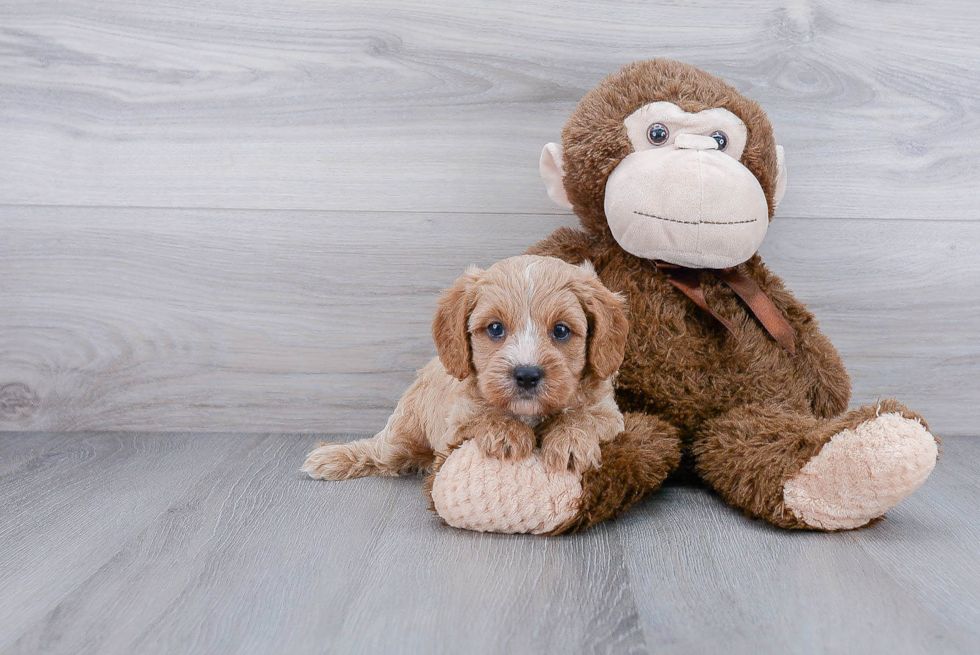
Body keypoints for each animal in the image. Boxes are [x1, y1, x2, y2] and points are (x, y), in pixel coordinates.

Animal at [302, 256, 632, 482]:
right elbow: (482, 416)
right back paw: (332, 457)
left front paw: (570, 440)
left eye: (561, 330)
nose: (527, 374)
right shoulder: (456, 422)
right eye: (495, 328)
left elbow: (583, 417)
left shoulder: (609, 415)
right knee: (379, 450)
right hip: (403, 430)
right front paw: (506, 433)